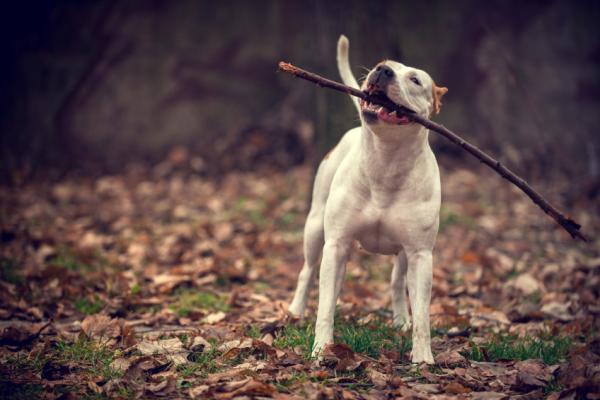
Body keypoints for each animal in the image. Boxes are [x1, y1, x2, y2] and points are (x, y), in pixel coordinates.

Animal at [288, 36, 448, 364]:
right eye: (381, 64)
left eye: (415, 79)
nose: (383, 71)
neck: (385, 162)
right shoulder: (336, 245)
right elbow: (326, 306)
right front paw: (321, 349)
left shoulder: (420, 255)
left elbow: (423, 314)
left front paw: (422, 356)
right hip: (315, 228)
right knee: (307, 271)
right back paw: (296, 310)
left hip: (403, 254)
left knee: (397, 282)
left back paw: (400, 320)